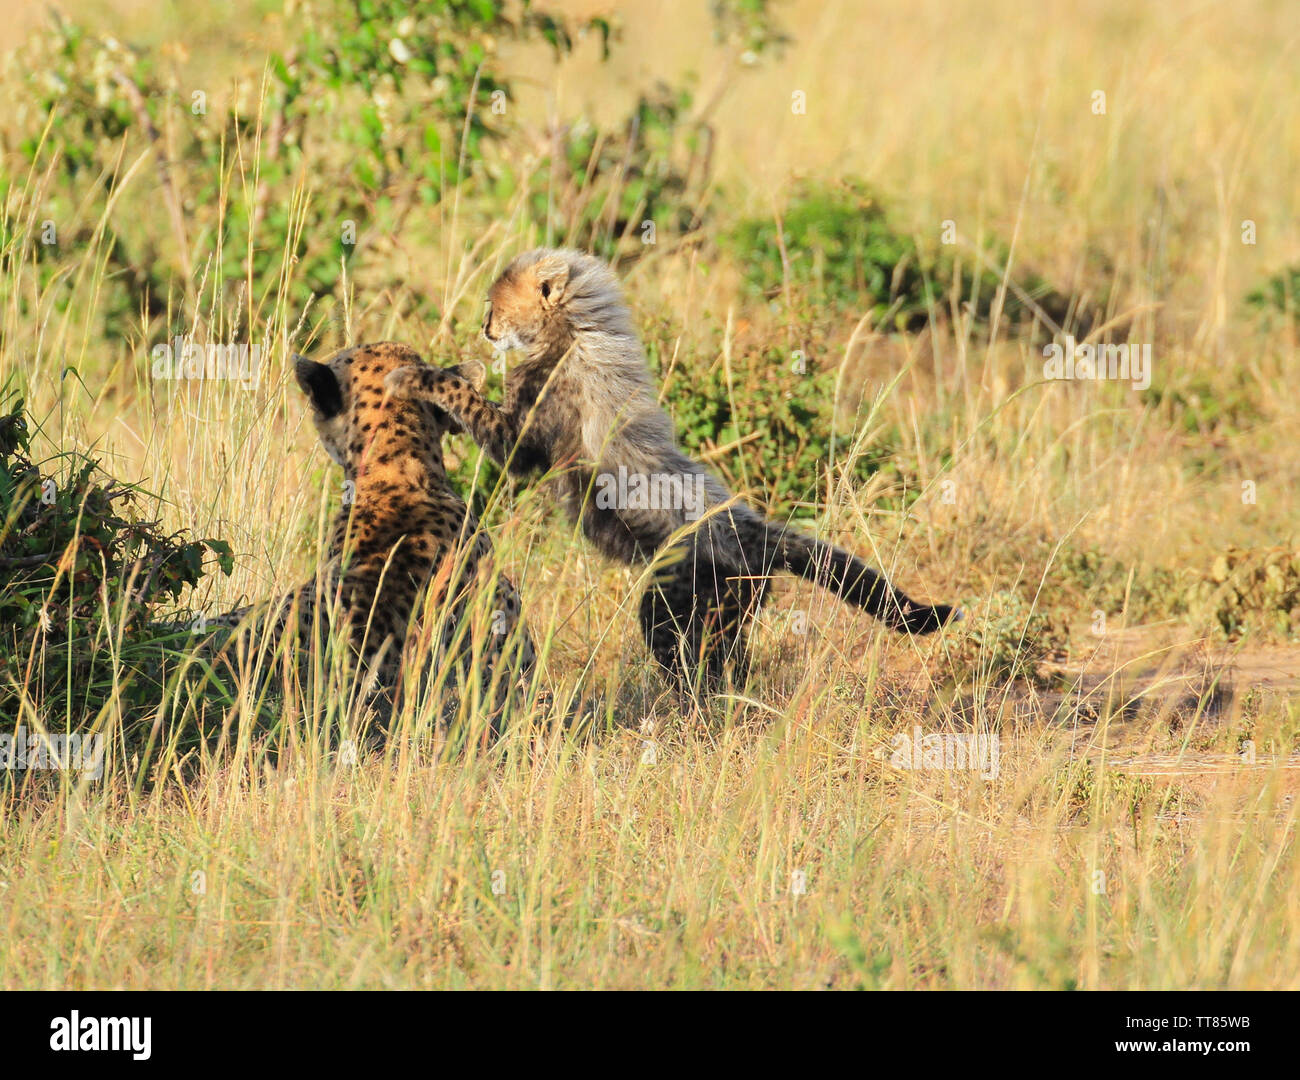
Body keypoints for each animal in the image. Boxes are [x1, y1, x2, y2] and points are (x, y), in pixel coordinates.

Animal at [383, 249, 959, 696]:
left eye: (495, 304)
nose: (485, 329)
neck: (572, 333)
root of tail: (757, 529)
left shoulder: (522, 441)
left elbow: (475, 410)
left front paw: (414, 376)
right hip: (729, 614)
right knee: (731, 667)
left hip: (679, 601)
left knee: (691, 664)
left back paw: (685, 713)